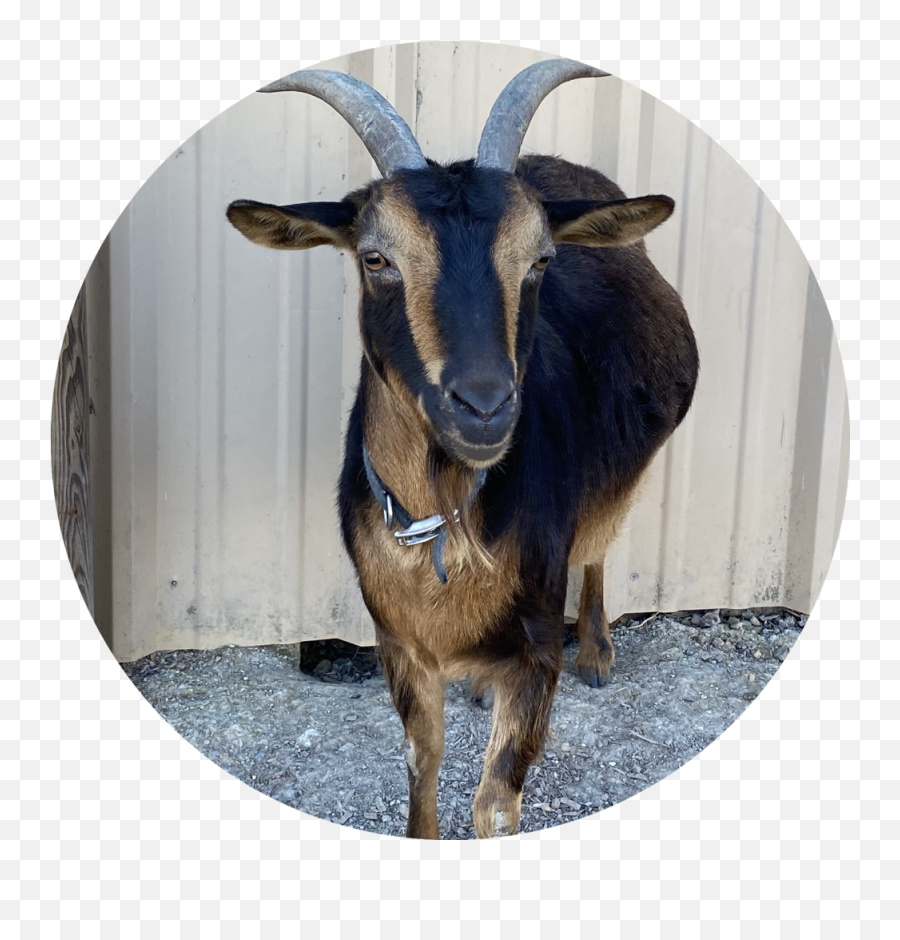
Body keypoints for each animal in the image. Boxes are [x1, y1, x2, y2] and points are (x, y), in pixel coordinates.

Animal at [227, 59, 699, 839]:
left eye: (540, 260)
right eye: (376, 257)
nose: (483, 407)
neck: (444, 521)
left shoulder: (537, 647)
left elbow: (495, 803)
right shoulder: (398, 643)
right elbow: (422, 762)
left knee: (600, 541)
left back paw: (599, 649)